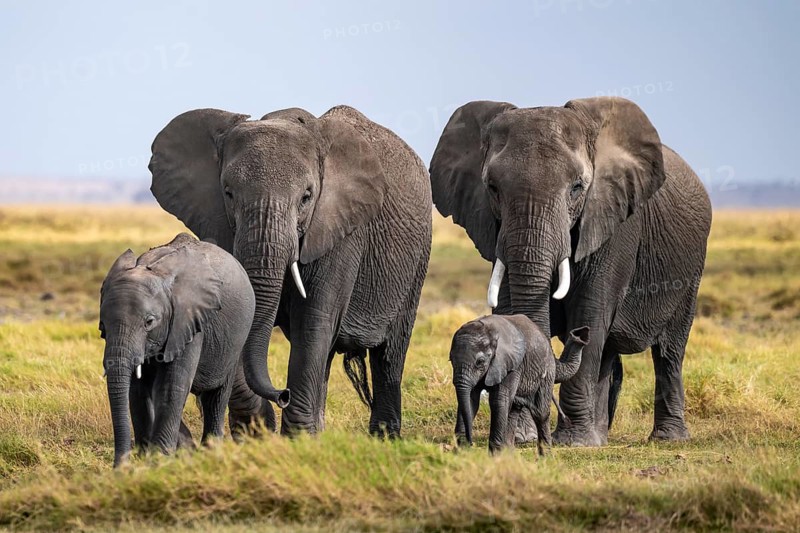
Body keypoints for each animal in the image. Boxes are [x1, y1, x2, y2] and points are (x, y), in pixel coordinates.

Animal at [100, 233, 273, 467]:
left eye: (149, 322)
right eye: (102, 327)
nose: (121, 469)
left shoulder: (189, 320)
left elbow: (171, 386)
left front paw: (158, 460)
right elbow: (138, 390)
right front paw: (147, 458)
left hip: (237, 339)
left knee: (216, 396)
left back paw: (210, 451)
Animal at [149, 105, 432, 437]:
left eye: (307, 197)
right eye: (228, 193)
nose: (282, 395)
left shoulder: (342, 230)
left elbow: (314, 320)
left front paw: (298, 439)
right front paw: (257, 432)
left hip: (416, 263)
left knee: (389, 352)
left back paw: (383, 438)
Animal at [450, 315, 589, 454]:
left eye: (480, 361)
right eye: (451, 360)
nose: (471, 442)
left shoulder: (512, 365)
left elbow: (498, 401)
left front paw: (494, 456)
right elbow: (471, 400)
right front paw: (462, 451)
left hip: (547, 371)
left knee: (541, 413)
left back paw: (545, 456)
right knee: (514, 409)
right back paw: (509, 453)